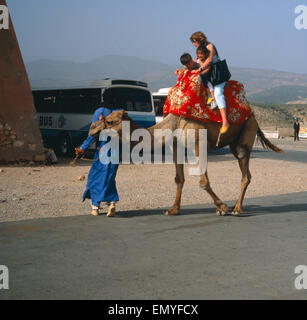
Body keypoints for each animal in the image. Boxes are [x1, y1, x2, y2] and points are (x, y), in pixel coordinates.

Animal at [90, 109, 286, 216]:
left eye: (109, 121)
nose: (92, 129)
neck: (173, 124)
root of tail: (253, 116)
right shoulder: (175, 147)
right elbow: (179, 179)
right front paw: (172, 210)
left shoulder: (199, 143)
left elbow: (203, 181)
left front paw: (222, 207)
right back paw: (236, 207)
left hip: (245, 136)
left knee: (245, 172)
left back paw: (237, 209)